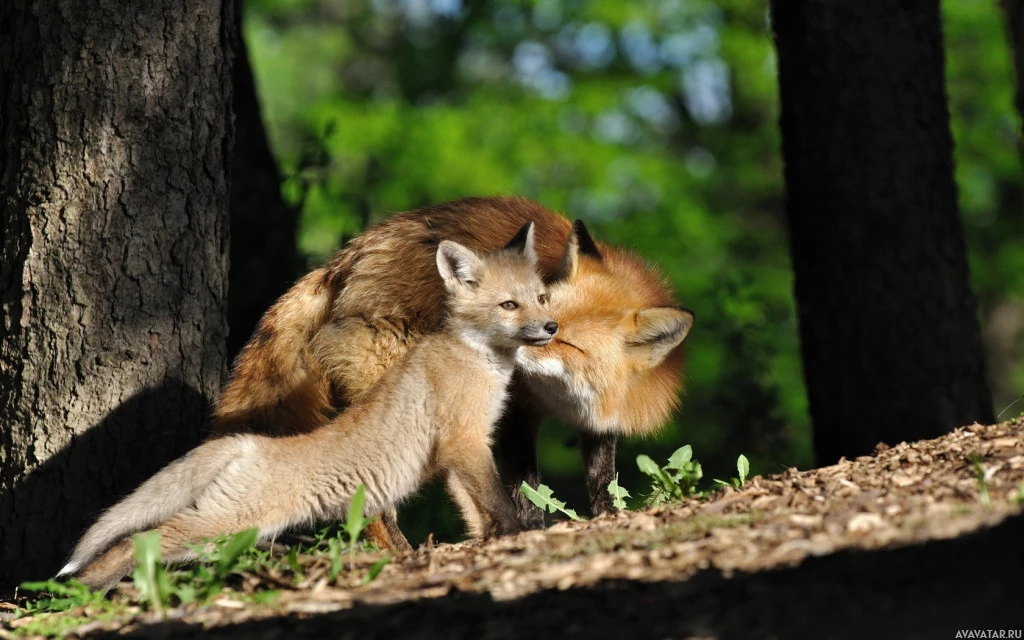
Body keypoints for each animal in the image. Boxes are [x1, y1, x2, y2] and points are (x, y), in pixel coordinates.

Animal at [59, 222, 557, 585]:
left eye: (541, 297)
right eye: (509, 305)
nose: (551, 327)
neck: (475, 358)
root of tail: (249, 443)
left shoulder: (455, 454)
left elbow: (475, 510)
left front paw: (483, 543)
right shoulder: (465, 440)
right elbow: (499, 502)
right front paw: (520, 536)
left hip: (236, 527)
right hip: (232, 518)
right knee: (138, 540)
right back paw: (79, 591)